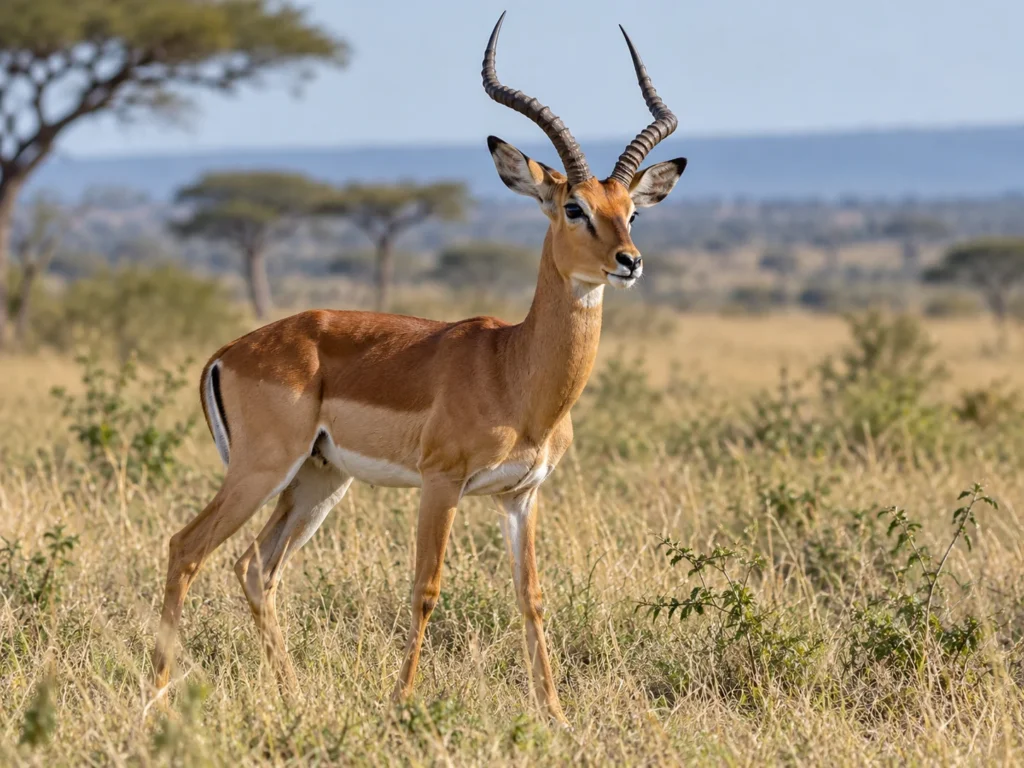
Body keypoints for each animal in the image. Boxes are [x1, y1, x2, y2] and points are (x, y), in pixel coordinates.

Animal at [150, 12, 686, 724]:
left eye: (631, 211)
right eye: (574, 207)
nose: (629, 261)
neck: (515, 372)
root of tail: (228, 352)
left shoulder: (522, 495)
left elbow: (532, 596)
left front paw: (555, 714)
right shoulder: (441, 482)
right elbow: (426, 587)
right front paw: (401, 703)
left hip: (318, 480)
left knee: (255, 567)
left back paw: (293, 697)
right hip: (262, 470)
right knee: (187, 548)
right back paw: (154, 699)